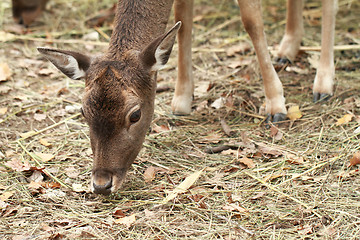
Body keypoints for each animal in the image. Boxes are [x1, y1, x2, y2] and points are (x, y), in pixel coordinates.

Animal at [36, 0, 338, 195]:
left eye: (135, 114)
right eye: (83, 112)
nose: (101, 184)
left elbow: (251, 20)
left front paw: (276, 104)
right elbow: (182, 18)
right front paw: (182, 99)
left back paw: (323, 83)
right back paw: (287, 48)